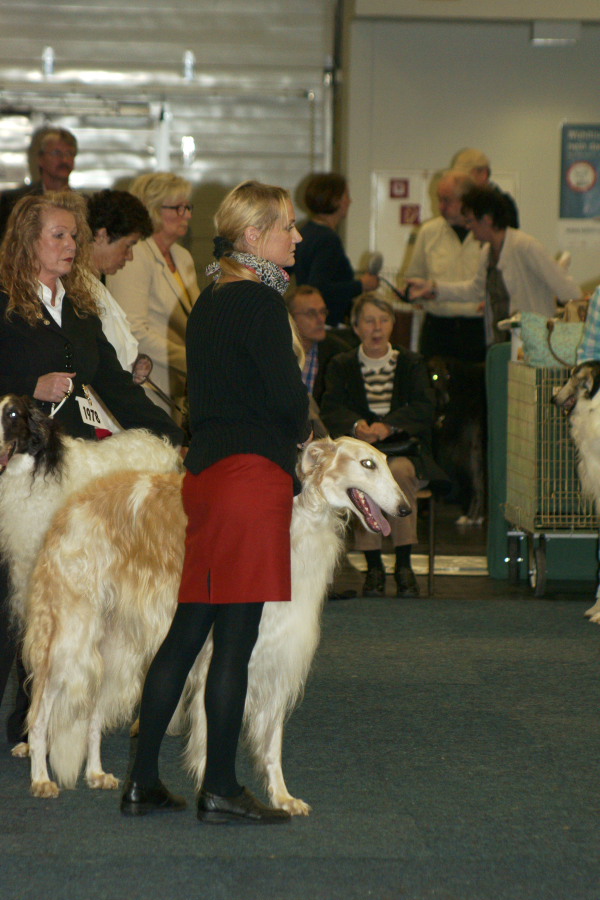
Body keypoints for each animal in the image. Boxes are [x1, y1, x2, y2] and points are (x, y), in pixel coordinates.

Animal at [22, 436, 407, 813]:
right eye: (367, 464)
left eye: (384, 462)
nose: (405, 509)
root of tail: (71, 506)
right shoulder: (223, 651)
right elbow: (213, 731)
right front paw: (215, 794)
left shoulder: (280, 652)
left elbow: (272, 741)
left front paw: (282, 797)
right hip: (72, 637)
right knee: (39, 714)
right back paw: (40, 778)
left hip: (116, 649)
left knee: (93, 713)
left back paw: (97, 773)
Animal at [427, 356, 486, 525]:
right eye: (434, 376)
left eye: (448, 376)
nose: (444, 400)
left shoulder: (474, 449)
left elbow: (478, 483)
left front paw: (473, 516)